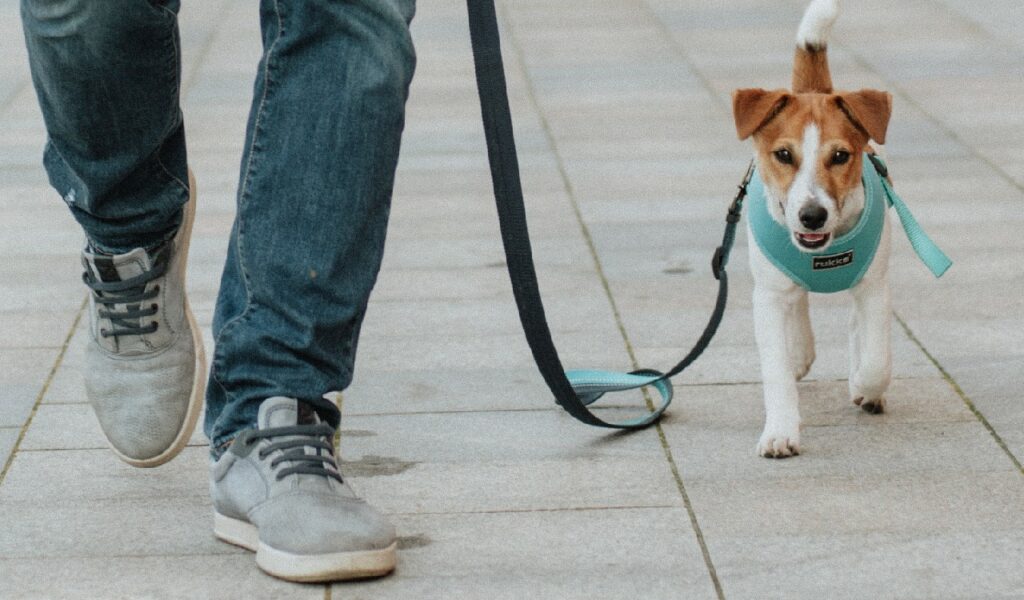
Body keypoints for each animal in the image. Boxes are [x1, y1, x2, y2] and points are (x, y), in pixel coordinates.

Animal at [733, 0, 892, 454]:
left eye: (840, 156)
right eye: (783, 155)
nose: (811, 216)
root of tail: (814, 90)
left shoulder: (874, 286)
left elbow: (875, 357)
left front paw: (864, 386)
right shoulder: (767, 296)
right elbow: (776, 371)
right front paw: (780, 431)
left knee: (855, 327)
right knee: (798, 299)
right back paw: (800, 351)